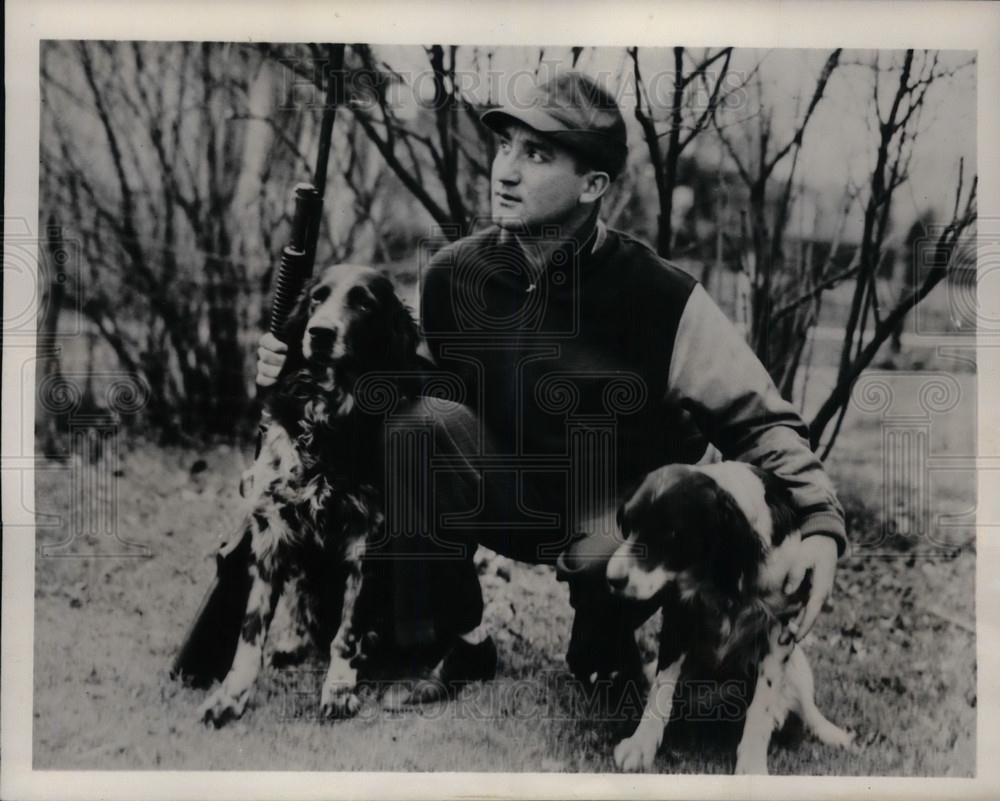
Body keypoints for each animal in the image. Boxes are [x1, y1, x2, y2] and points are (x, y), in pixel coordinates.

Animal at [600, 462, 852, 776]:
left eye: (671, 534)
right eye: (628, 523)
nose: (612, 579)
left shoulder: (781, 627)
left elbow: (763, 703)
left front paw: (752, 765)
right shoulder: (679, 615)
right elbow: (660, 689)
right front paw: (640, 745)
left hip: (798, 666)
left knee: (806, 706)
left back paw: (830, 732)